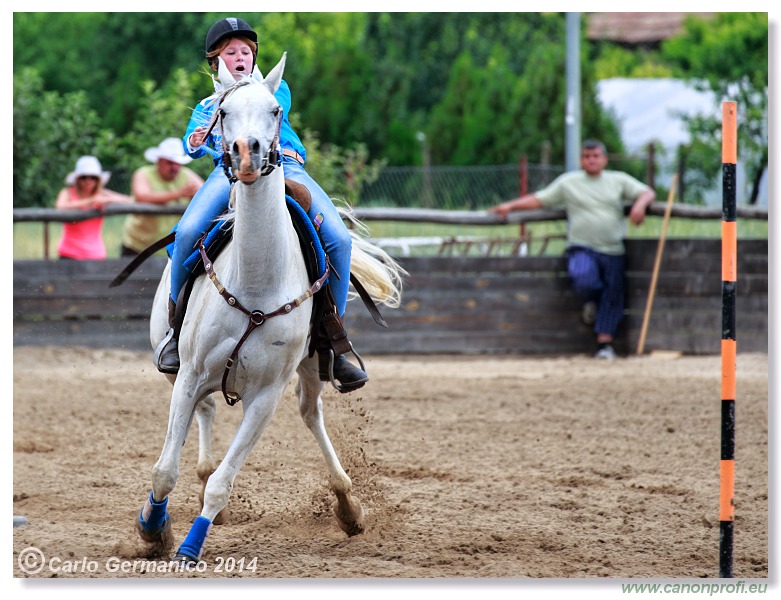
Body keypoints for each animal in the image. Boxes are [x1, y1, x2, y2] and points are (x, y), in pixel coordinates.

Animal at [136, 55, 402, 564]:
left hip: (313, 366)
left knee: (310, 413)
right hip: (181, 370)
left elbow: (223, 483)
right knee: (205, 411)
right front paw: (153, 528)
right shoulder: (190, 374)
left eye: (276, 110)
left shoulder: (264, 397)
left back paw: (348, 505)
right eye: (222, 112)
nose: (245, 152)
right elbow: (164, 469)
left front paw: (191, 544)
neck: (256, 282)